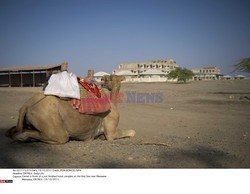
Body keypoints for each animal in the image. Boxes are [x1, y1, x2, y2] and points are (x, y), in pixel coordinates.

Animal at [5, 75, 135, 144]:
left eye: (107, 79)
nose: (103, 82)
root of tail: (26, 105)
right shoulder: (111, 131)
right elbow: (132, 132)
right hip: (50, 121)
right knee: (60, 137)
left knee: (16, 130)